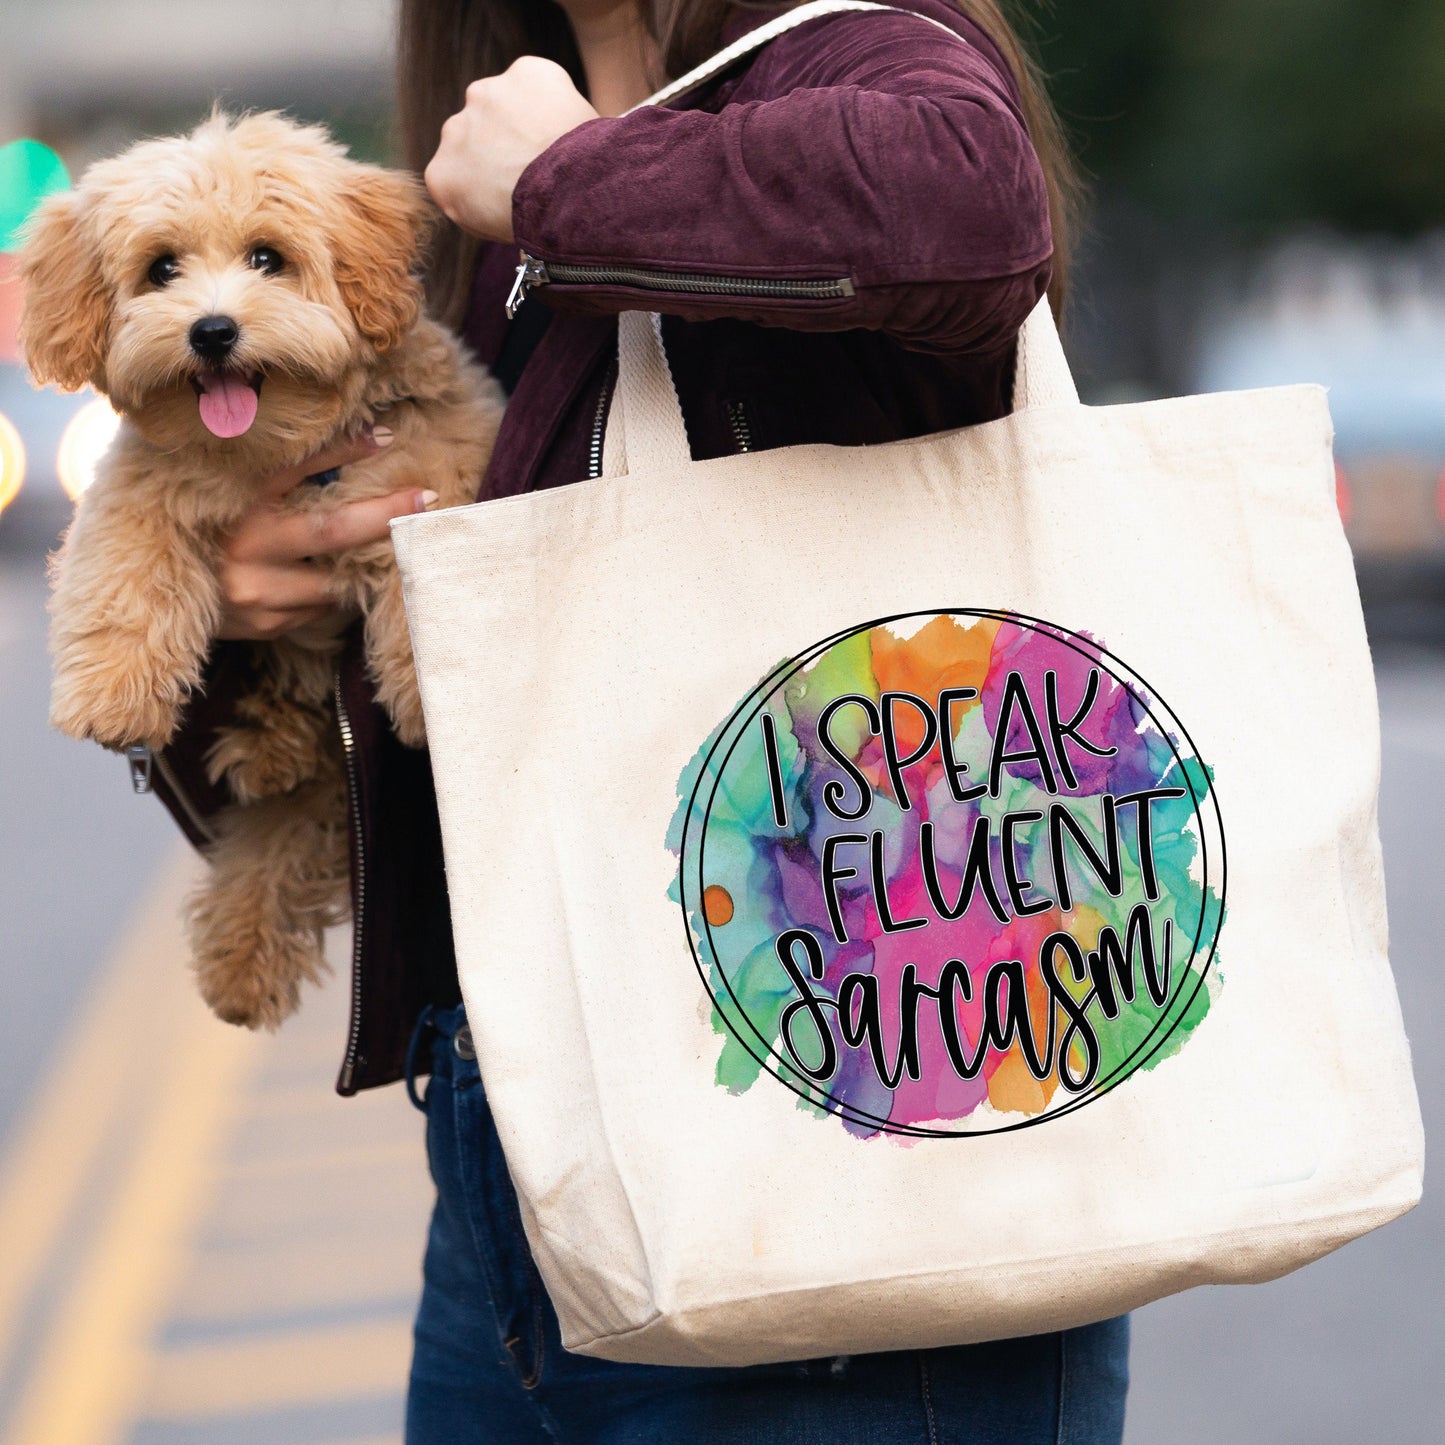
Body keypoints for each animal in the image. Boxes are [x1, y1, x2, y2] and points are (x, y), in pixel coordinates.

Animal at [18, 115, 508, 1028]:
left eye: (267, 258)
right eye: (161, 269)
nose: (211, 331)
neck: (272, 450)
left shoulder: (436, 455)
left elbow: (420, 553)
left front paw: (425, 689)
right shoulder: (139, 487)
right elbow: (123, 570)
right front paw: (112, 694)